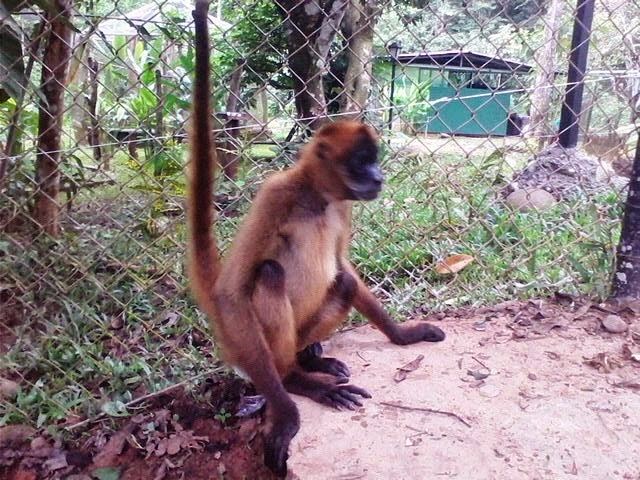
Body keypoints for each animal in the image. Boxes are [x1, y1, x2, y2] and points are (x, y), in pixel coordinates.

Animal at [188, 1, 445, 476]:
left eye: (374, 162)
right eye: (362, 163)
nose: (379, 178)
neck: (318, 197)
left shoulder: (344, 205)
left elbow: (344, 270)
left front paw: (404, 336)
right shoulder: (276, 192)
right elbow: (235, 289)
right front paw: (289, 415)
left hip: (300, 326)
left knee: (339, 283)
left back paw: (312, 357)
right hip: (254, 342)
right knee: (267, 274)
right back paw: (297, 379)